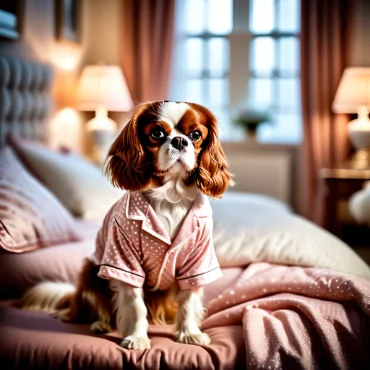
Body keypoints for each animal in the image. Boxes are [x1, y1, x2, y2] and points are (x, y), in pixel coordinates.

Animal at [18, 101, 231, 350]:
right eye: (157, 133)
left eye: (196, 135)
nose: (179, 141)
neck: (170, 197)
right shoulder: (124, 259)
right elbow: (135, 305)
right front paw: (137, 338)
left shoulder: (196, 262)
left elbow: (188, 301)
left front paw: (189, 333)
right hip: (91, 271)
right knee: (97, 306)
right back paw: (101, 323)